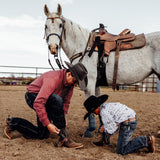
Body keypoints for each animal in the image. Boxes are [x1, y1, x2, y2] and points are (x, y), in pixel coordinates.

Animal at [43, 3, 160, 136]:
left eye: (60, 25)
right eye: (46, 26)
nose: (53, 48)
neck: (84, 47)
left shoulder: (89, 83)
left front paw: (90, 130)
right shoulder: (96, 83)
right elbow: (98, 102)